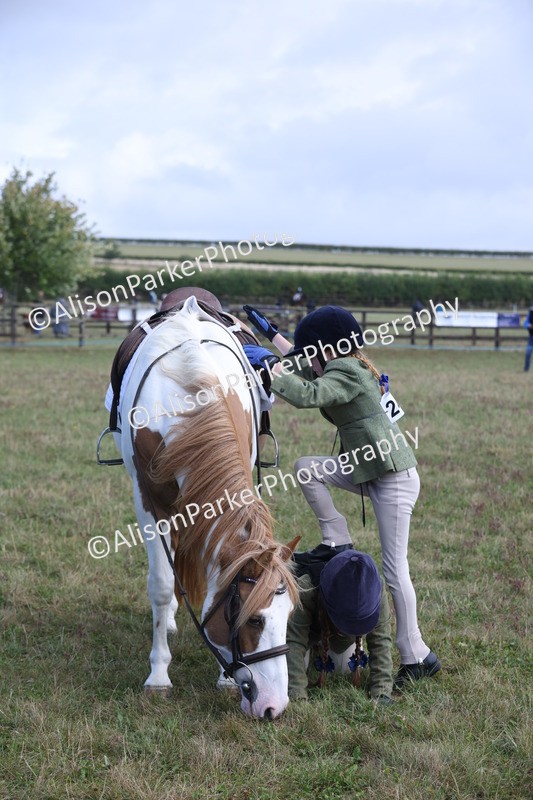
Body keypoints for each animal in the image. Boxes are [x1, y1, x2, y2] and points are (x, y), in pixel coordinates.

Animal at [112, 295, 299, 719]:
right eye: (255, 620)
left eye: (288, 617)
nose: (274, 706)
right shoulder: (148, 503)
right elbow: (162, 584)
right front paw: (158, 676)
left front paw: (225, 680)